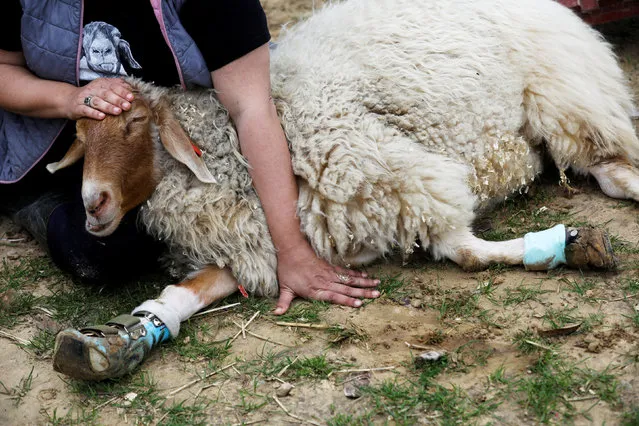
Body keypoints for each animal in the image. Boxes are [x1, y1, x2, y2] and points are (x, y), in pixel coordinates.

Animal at [48, 0, 639, 380]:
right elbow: (185, 293)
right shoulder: (261, 246)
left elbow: (465, 251)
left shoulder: (398, 176)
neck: (245, 151)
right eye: (78, 135)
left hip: (570, 105)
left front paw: (567, 246)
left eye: (136, 124)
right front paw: (115, 340)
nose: (92, 204)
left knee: (614, 168)